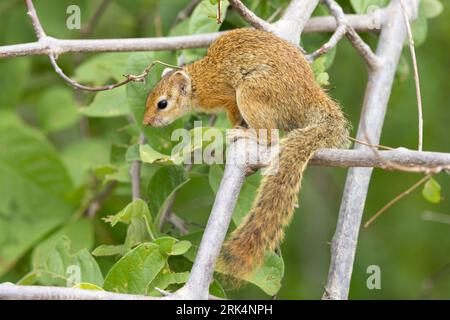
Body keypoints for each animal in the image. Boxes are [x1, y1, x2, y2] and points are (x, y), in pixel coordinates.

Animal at [142, 28, 350, 278]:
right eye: (148, 99)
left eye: (162, 104)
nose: (146, 122)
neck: (198, 82)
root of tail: (308, 95)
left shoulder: (225, 96)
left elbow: (232, 111)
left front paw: (236, 127)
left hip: (252, 93)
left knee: (271, 137)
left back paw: (247, 134)